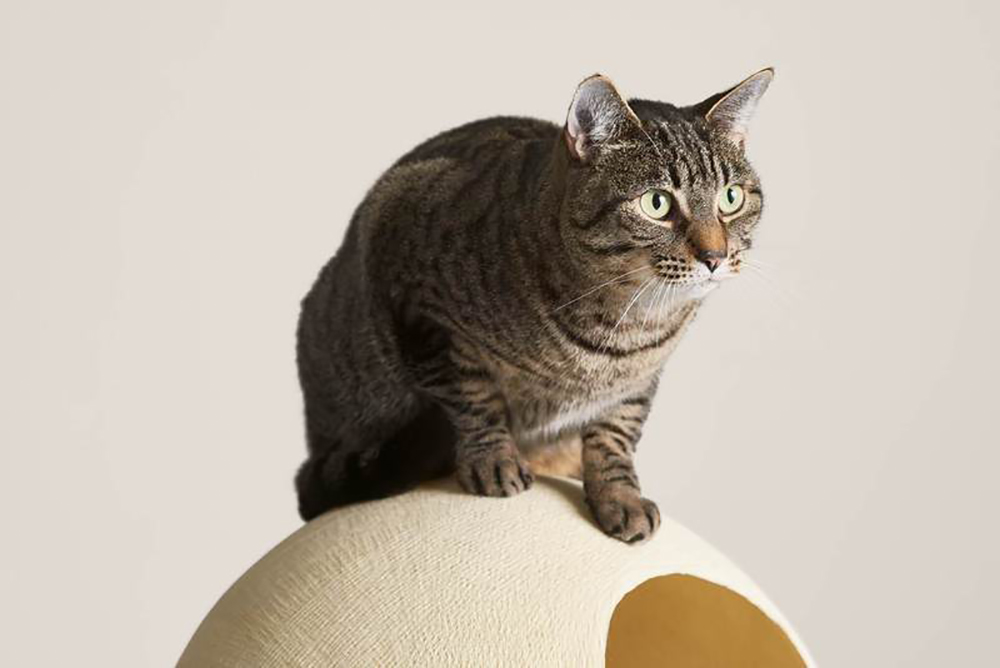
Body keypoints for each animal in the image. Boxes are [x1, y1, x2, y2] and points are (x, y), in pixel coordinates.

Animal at [294, 69, 772, 544]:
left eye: (731, 198)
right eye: (657, 203)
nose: (715, 256)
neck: (624, 326)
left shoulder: (639, 381)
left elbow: (615, 435)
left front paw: (619, 495)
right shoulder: (422, 309)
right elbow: (474, 396)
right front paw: (492, 459)